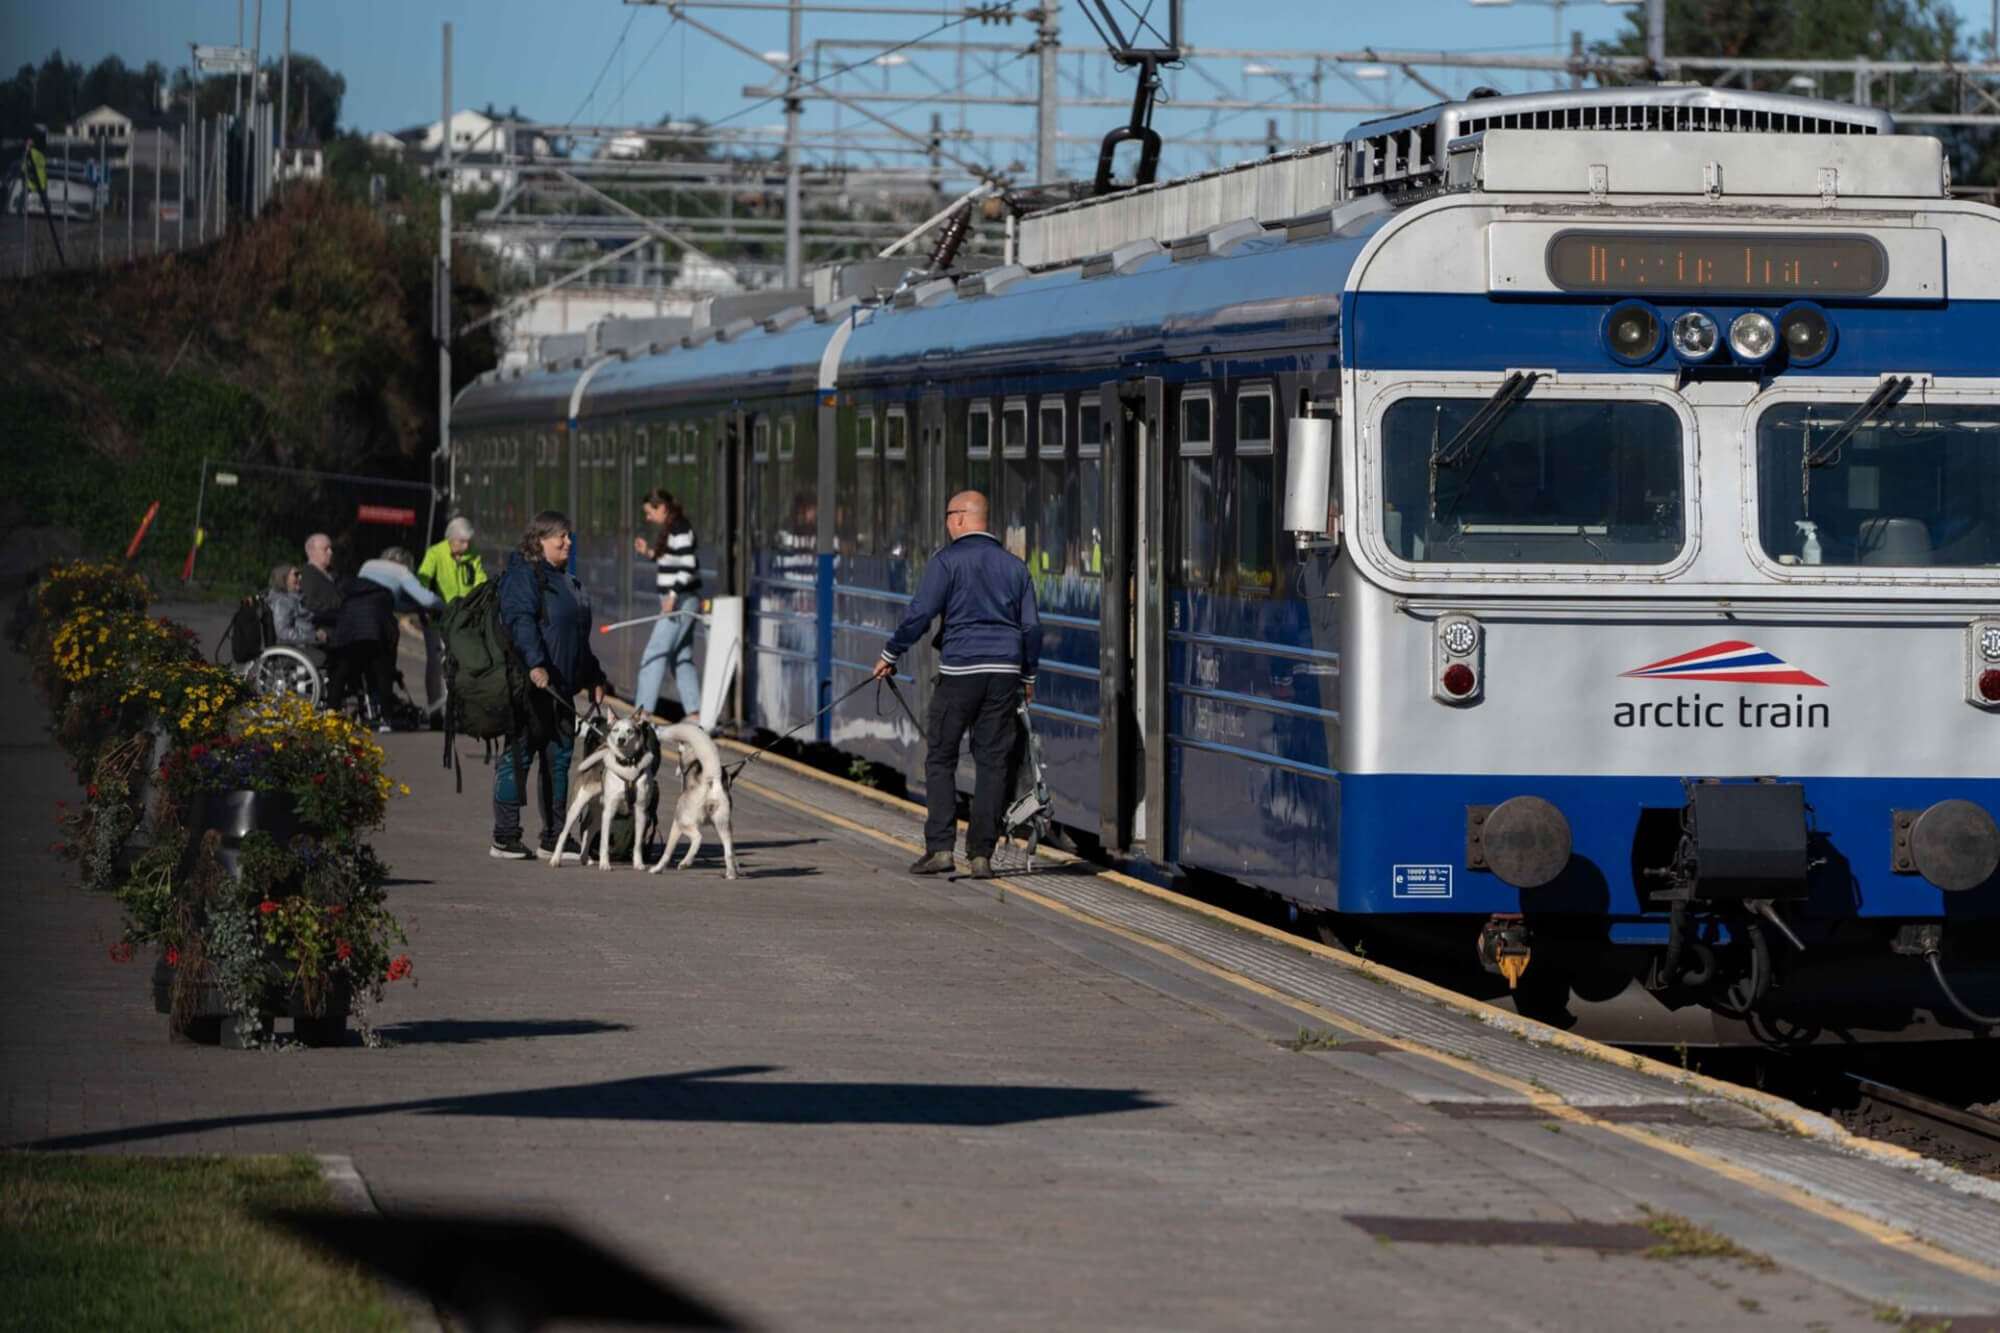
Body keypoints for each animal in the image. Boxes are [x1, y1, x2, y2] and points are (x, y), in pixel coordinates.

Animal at [552, 716, 660, 872]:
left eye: (630, 730)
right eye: (616, 730)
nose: (621, 740)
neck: (627, 766)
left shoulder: (640, 812)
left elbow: (638, 843)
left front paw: (638, 864)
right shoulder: (609, 812)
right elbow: (604, 842)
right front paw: (604, 864)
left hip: (598, 813)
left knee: (588, 830)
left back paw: (584, 858)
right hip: (577, 808)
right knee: (563, 834)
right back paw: (555, 859)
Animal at [652, 720, 748, 876]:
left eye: (678, 752)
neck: (693, 759)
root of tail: (709, 779)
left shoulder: (676, 824)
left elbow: (667, 852)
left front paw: (657, 869)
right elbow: (733, 853)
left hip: (684, 822)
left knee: (698, 838)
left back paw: (685, 862)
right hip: (723, 825)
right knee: (728, 851)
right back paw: (731, 874)